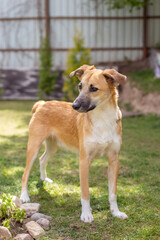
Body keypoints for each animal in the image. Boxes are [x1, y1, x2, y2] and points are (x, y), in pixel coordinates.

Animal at [20, 64, 127, 223]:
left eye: (94, 88)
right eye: (79, 86)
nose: (74, 106)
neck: (102, 118)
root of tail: (42, 103)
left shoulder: (114, 159)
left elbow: (113, 193)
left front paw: (116, 212)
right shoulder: (84, 161)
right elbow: (85, 193)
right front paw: (86, 214)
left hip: (52, 147)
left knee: (42, 159)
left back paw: (44, 179)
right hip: (33, 146)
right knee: (25, 173)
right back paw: (24, 196)